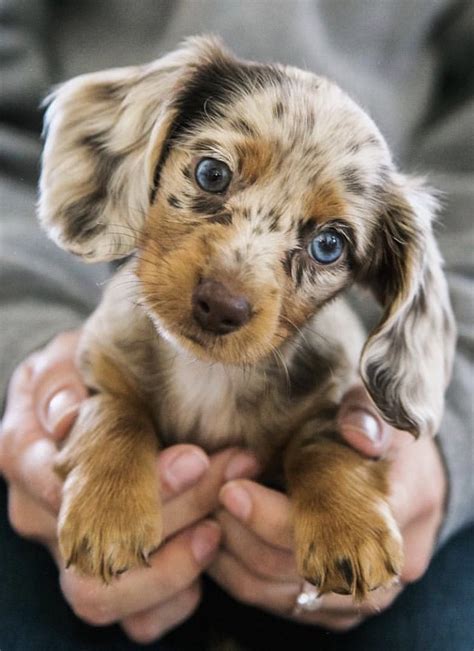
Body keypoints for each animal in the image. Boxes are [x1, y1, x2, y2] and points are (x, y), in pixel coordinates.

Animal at [38, 37, 456, 600]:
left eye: (329, 245)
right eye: (212, 174)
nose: (221, 305)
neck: (209, 373)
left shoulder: (330, 403)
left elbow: (324, 444)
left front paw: (350, 526)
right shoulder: (102, 369)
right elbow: (112, 412)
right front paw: (108, 510)